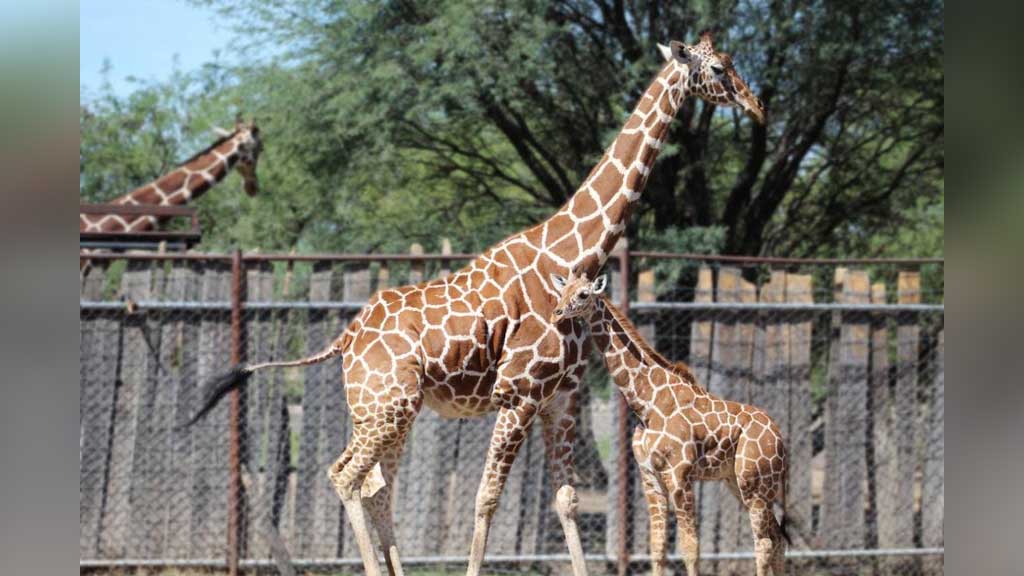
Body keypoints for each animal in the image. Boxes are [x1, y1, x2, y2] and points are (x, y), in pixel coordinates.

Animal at [552, 270, 782, 573]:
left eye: (583, 294)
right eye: (562, 290)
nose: (556, 312)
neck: (646, 403)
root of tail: (780, 438)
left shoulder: (679, 474)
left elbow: (691, 547)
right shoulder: (649, 475)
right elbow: (657, 547)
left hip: (755, 484)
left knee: (764, 543)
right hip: (739, 482)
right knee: (777, 539)